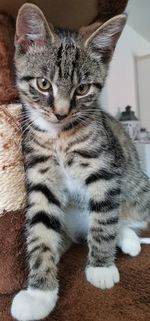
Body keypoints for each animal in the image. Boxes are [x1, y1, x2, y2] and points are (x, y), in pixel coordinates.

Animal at [11, 3, 149, 320]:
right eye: (43, 84)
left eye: (83, 89)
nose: (61, 113)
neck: (60, 137)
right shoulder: (40, 175)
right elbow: (40, 230)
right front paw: (39, 294)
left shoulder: (106, 170)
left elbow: (105, 217)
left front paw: (101, 268)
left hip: (140, 188)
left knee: (123, 218)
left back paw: (127, 240)